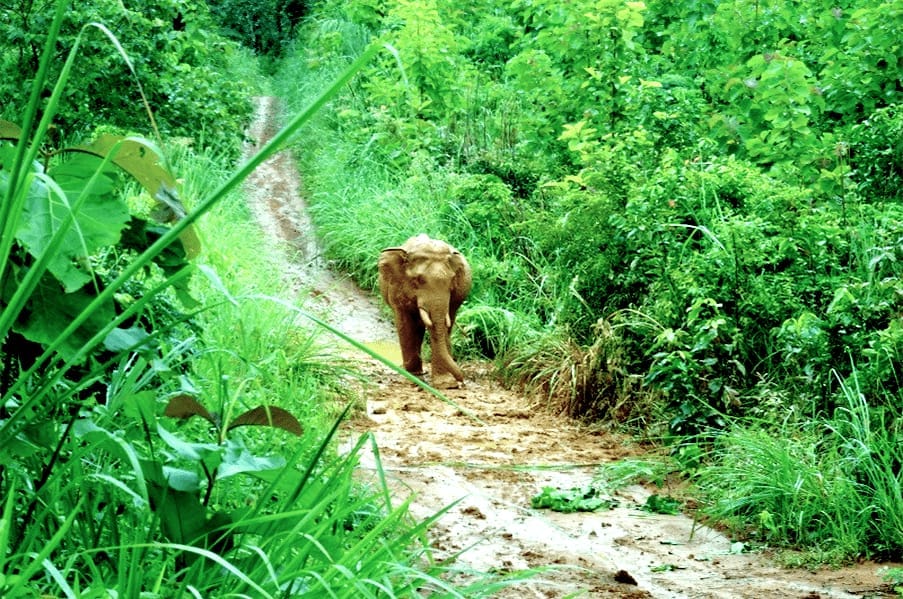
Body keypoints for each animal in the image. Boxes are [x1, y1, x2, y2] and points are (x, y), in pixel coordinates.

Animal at [378, 234, 472, 389]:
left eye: (452, 280)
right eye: (418, 280)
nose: (461, 382)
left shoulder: (454, 297)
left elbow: (444, 325)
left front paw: (446, 385)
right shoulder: (397, 288)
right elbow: (405, 324)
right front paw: (413, 379)